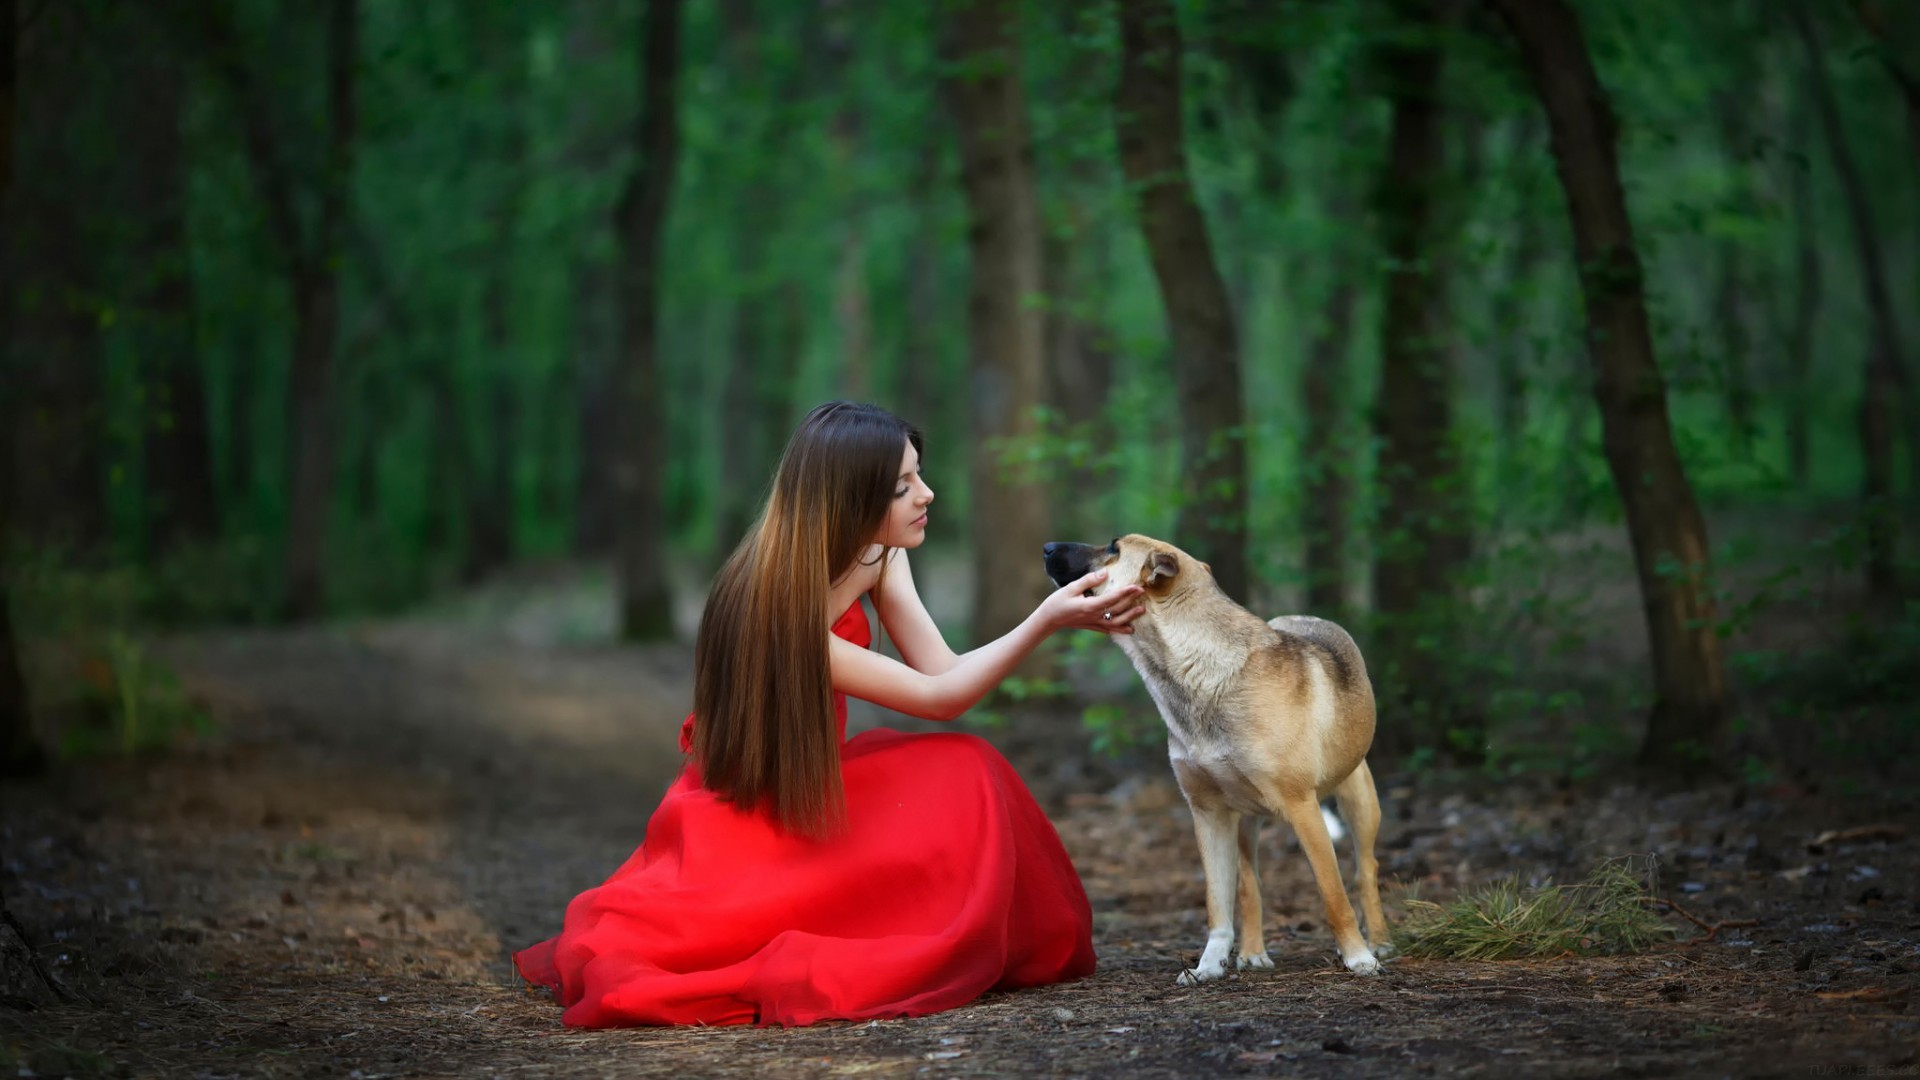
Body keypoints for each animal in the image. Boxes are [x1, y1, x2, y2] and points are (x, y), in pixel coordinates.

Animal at [1044, 530, 1390, 976]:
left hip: (1358, 798)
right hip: (1245, 822)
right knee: (1250, 884)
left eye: (1114, 549)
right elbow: (1218, 903)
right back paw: (1252, 952)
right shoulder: (1208, 813)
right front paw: (1208, 965)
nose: (1047, 548)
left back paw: (1378, 943)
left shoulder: (1303, 807)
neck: (1195, 671)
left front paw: (1358, 956)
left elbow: (1334, 894)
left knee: (1365, 870)